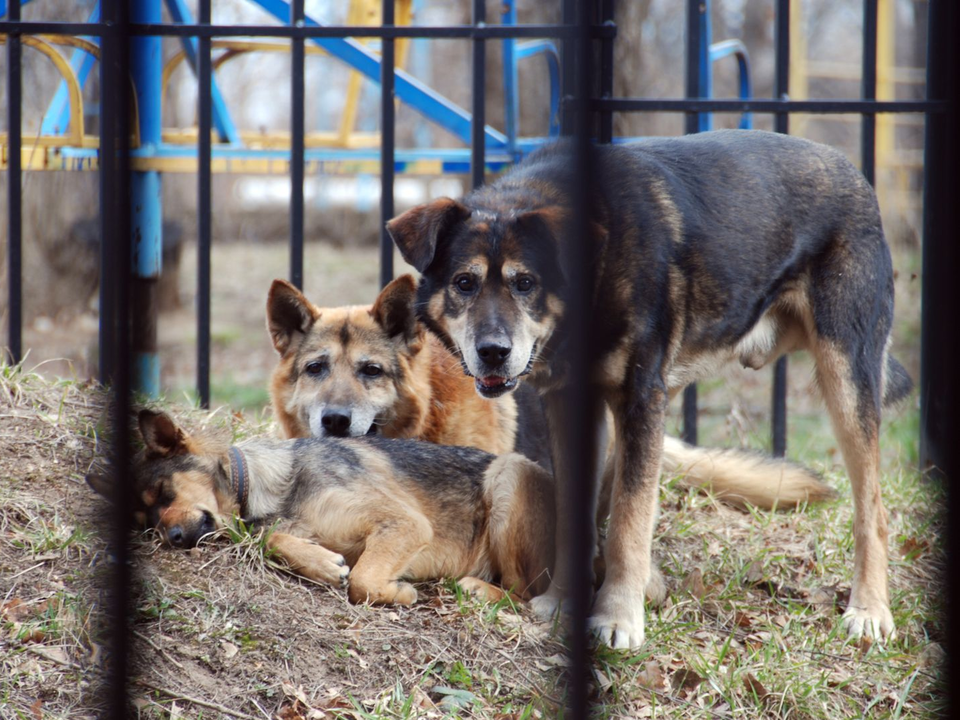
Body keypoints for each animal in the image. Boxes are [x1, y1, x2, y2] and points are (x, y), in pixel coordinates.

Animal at [386, 129, 912, 648]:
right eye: (464, 283)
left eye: (526, 283)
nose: (493, 352)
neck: (594, 271)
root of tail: (851, 171)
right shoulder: (576, 406)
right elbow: (574, 514)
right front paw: (563, 602)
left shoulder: (640, 398)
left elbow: (630, 522)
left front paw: (618, 619)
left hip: (844, 378)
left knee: (873, 510)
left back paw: (870, 610)